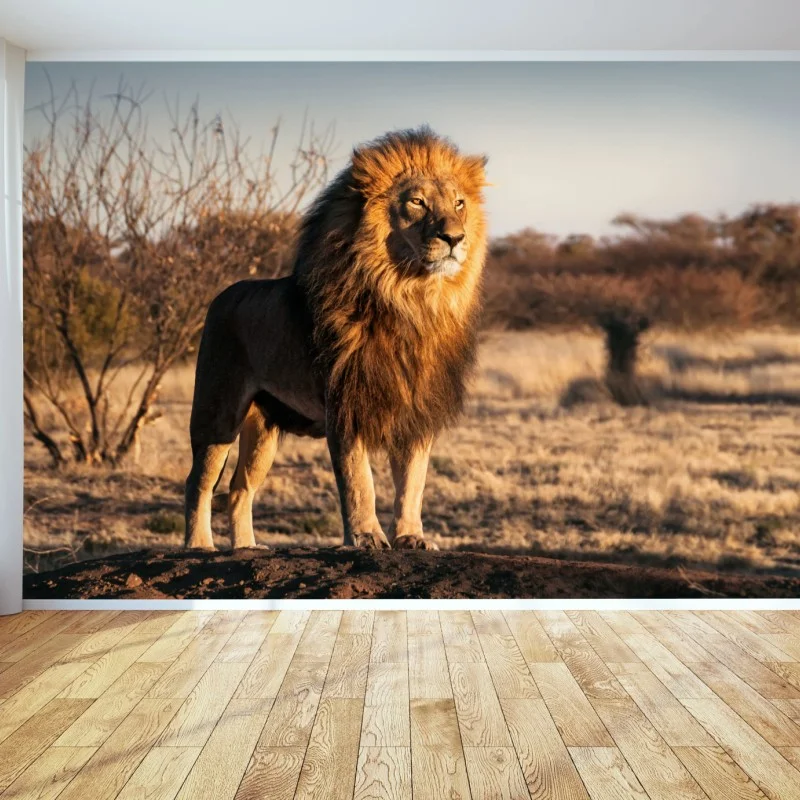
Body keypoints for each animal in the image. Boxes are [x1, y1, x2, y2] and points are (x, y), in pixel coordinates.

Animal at [184, 127, 489, 551]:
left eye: (459, 203)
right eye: (417, 202)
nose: (455, 237)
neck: (411, 300)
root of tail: (222, 295)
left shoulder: (417, 410)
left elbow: (413, 482)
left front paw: (411, 537)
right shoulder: (346, 405)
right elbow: (360, 481)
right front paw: (366, 537)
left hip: (263, 429)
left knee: (240, 487)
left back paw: (246, 547)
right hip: (217, 413)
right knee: (199, 481)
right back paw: (199, 545)